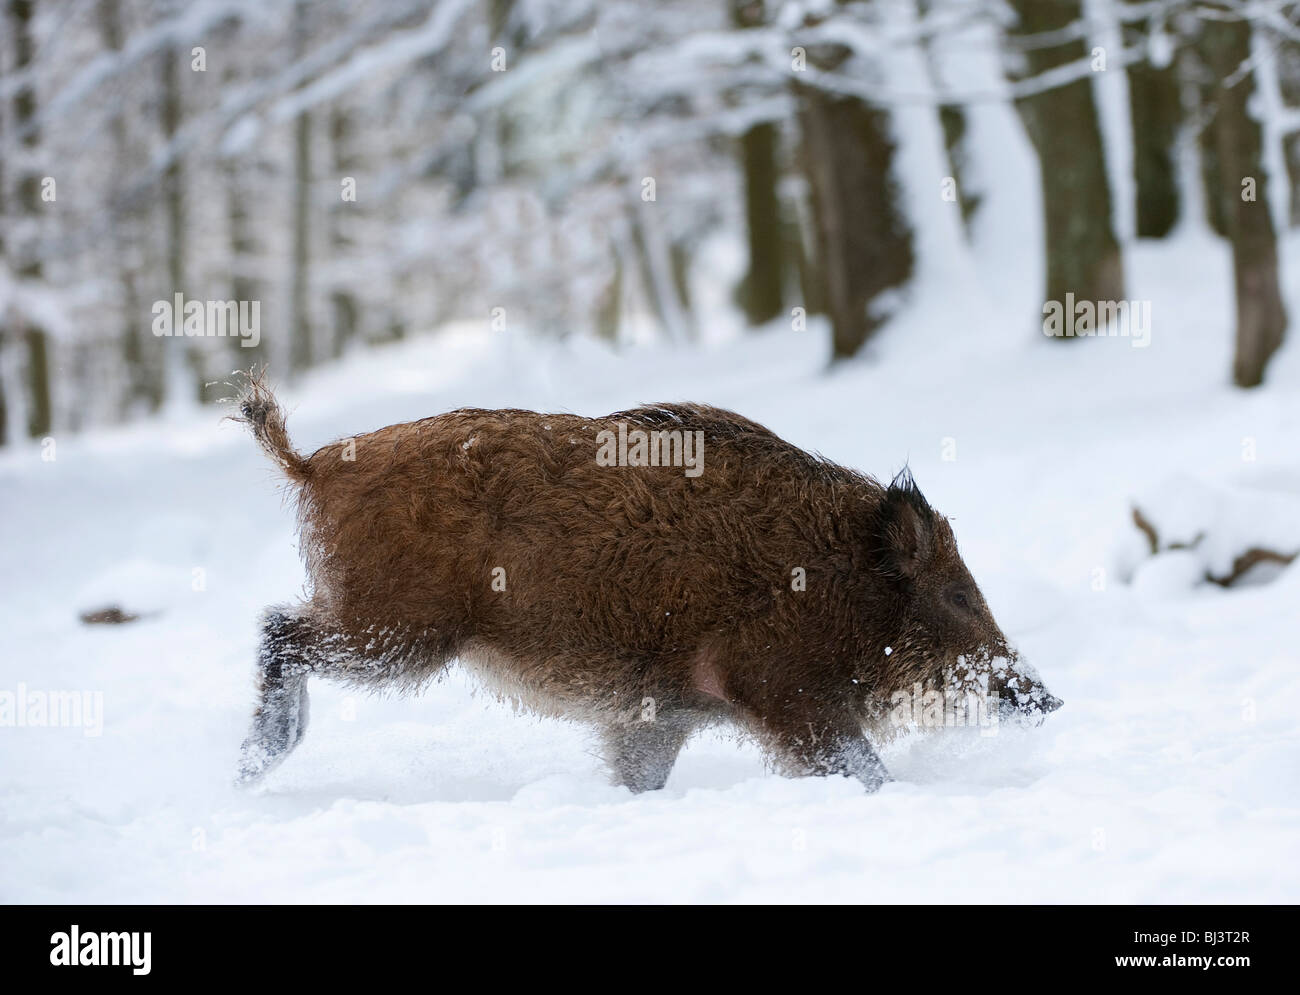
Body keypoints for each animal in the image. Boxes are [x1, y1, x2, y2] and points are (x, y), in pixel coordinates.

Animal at [231, 372, 1061, 792]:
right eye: (957, 594)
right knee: (279, 628)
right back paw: (256, 764)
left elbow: (638, 777)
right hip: (398, 632)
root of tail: (310, 463)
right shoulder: (780, 687)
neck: (838, 582)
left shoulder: (656, 716)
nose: (1048, 698)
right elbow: (862, 768)